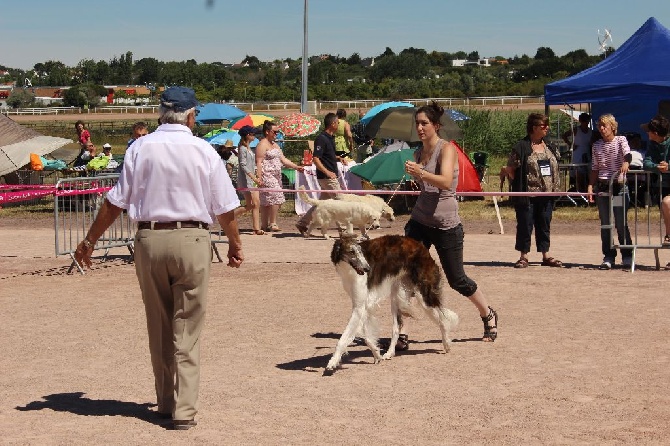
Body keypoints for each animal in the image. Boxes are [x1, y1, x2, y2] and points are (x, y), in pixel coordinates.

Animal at [326, 233, 462, 372]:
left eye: (360, 252)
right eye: (351, 252)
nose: (368, 269)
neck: (349, 270)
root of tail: (421, 247)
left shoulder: (360, 306)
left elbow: (344, 338)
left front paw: (332, 362)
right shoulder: (362, 305)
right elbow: (367, 337)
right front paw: (376, 353)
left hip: (424, 297)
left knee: (442, 320)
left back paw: (446, 344)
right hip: (397, 297)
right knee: (396, 329)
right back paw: (389, 353)